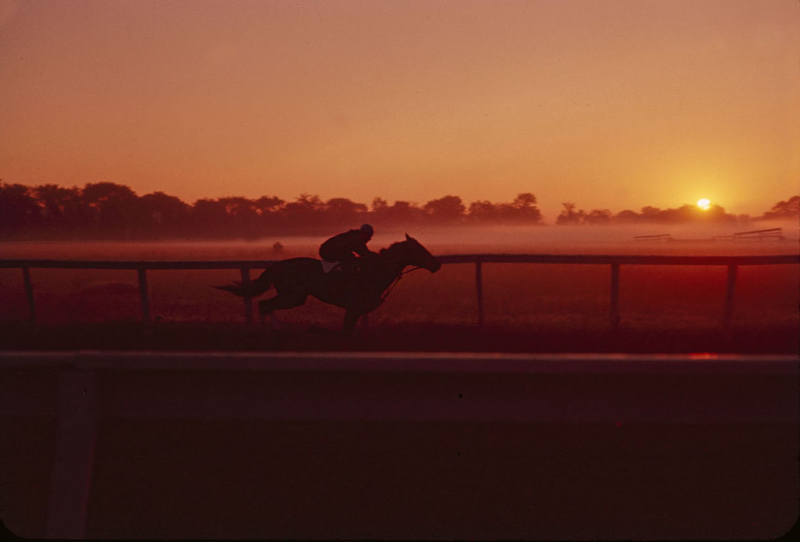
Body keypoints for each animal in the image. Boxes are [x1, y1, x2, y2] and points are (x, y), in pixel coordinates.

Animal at [216, 233, 440, 334]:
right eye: (420, 249)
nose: (436, 264)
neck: (376, 270)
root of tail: (277, 265)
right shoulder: (354, 307)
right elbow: (347, 330)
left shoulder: (356, 309)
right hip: (293, 296)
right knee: (264, 305)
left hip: (293, 296)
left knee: (265, 305)